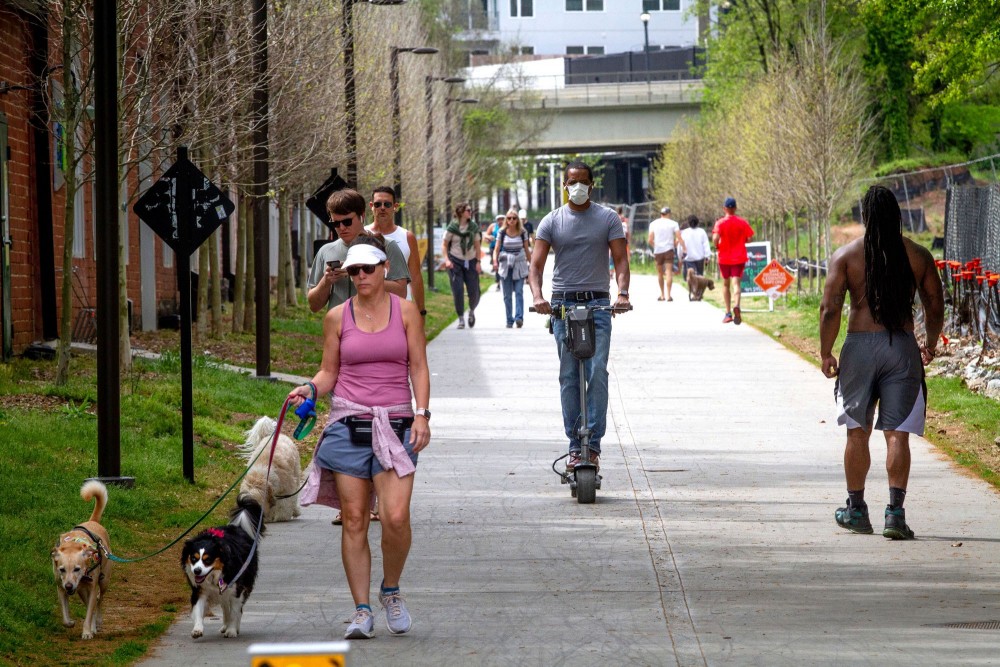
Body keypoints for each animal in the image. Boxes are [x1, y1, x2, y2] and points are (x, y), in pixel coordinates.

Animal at [51, 480, 111, 640]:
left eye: (77, 568)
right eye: (62, 569)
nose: (69, 586)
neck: (73, 544)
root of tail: (93, 521)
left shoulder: (92, 587)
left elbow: (90, 612)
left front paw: (86, 632)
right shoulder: (60, 587)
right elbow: (65, 616)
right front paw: (71, 623)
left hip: (104, 581)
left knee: (100, 600)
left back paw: (98, 621)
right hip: (81, 590)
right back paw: (93, 626)